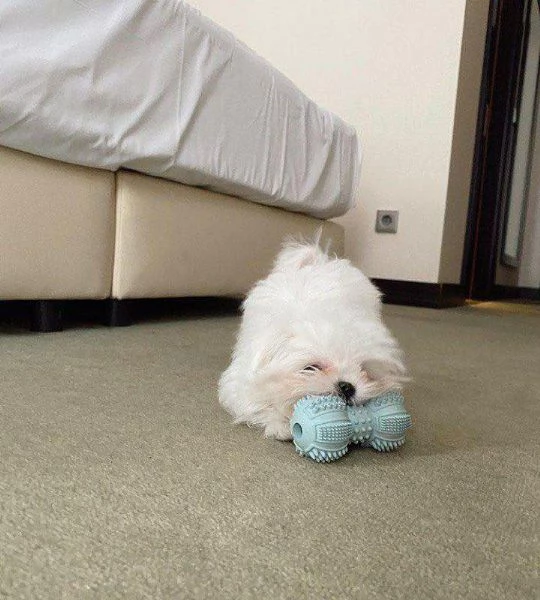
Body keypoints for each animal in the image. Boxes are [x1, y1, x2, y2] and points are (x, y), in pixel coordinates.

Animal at [217, 239, 408, 440]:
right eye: (311, 368)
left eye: (364, 370)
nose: (346, 386)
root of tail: (319, 262)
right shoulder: (240, 383)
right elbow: (254, 402)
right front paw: (279, 424)